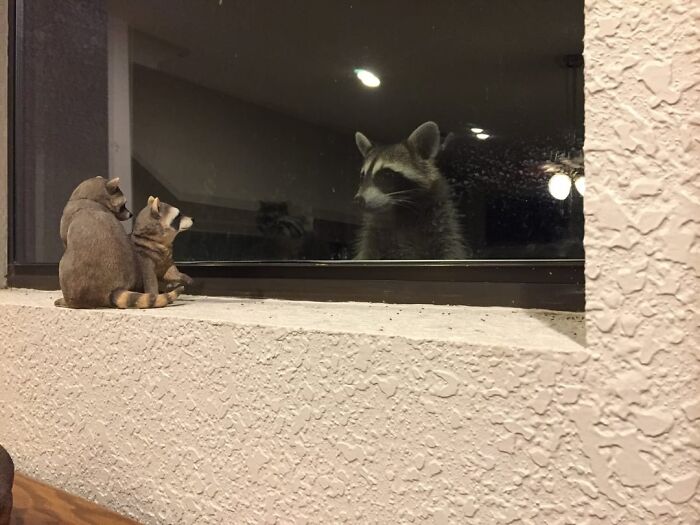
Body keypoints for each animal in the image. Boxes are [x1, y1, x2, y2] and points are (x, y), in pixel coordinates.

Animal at [55, 177, 183, 309]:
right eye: (123, 205)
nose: (131, 214)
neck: (89, 198)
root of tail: (114, 289)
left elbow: (65, 242)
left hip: (71, 274)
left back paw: (66, 302)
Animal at [353, 121, 467, 259]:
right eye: (362, 176)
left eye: (387, 174)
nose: (359, 200)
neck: (401, 209)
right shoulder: (374, 233)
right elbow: (368, 252)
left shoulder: (441, 219)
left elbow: (449, 248)